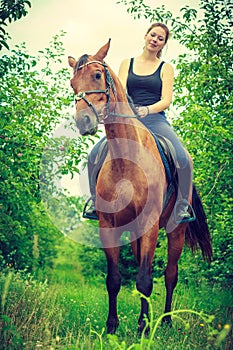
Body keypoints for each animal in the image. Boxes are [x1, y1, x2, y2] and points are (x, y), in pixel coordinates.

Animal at [67, 39, 211, 334]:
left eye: (97, 75)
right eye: (73, 84)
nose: (84, 122)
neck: (127, 161)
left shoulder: (150, 223)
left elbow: (146, 280)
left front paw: (144, 328)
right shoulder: (108, 225)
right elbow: (115, 278)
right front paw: (112, 326)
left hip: (175, 229)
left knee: (170, 275)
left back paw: (165, 321)